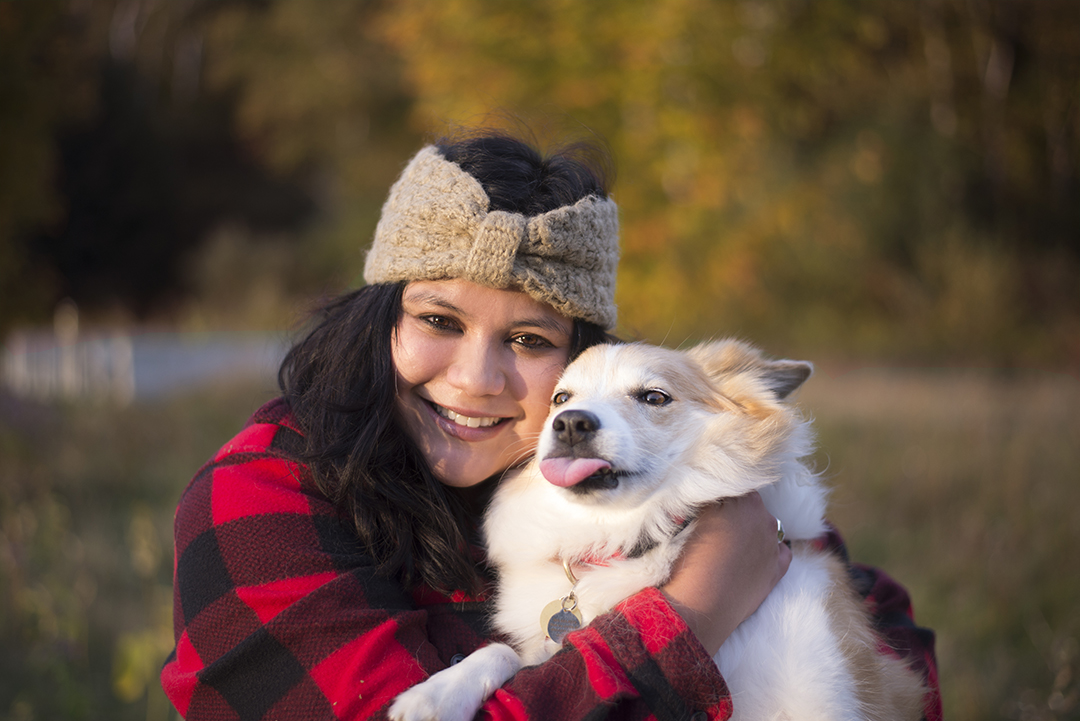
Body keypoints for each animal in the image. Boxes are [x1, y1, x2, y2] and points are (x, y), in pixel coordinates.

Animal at [393, 338, 924, 721]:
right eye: (561, 398)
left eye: (654, 397)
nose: (569, 423)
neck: (631, 535)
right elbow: (504, 653)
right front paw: (435, 695)